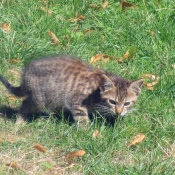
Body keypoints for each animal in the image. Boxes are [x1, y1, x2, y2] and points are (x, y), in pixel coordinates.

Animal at [0, 56, 144, 126]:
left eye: (127, 103)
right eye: (112, 101)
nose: (119, 112)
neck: (97, 91)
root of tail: (25, 74)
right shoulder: (75, 100)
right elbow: (82, 118)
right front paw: (86, 133)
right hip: (39, 99)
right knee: (25, 104)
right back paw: (19, 122)